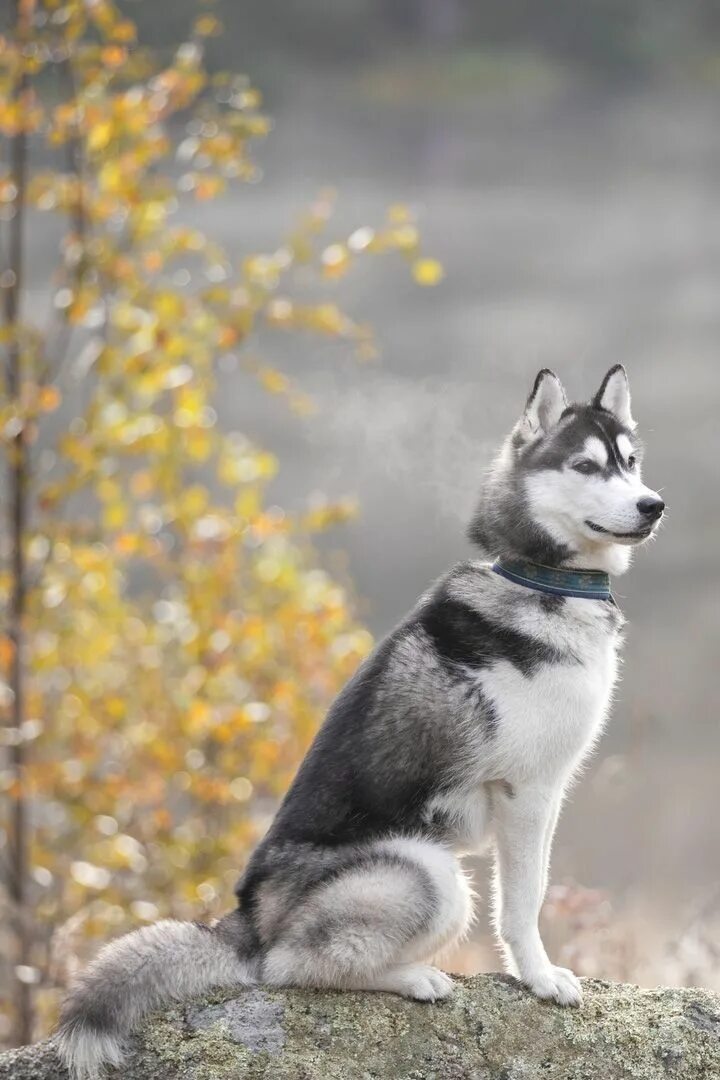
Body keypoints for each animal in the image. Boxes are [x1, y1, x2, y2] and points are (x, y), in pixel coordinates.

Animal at [57, 367, 664, 1075]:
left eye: (630, 462)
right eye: (586, 466)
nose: (652, 505)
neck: (544, 581)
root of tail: (244, 923)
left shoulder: (548, 793)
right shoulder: (526, 792)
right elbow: (523, 901)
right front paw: (540, 978)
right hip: (428, 874)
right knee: (289, 968)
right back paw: (413, 977)